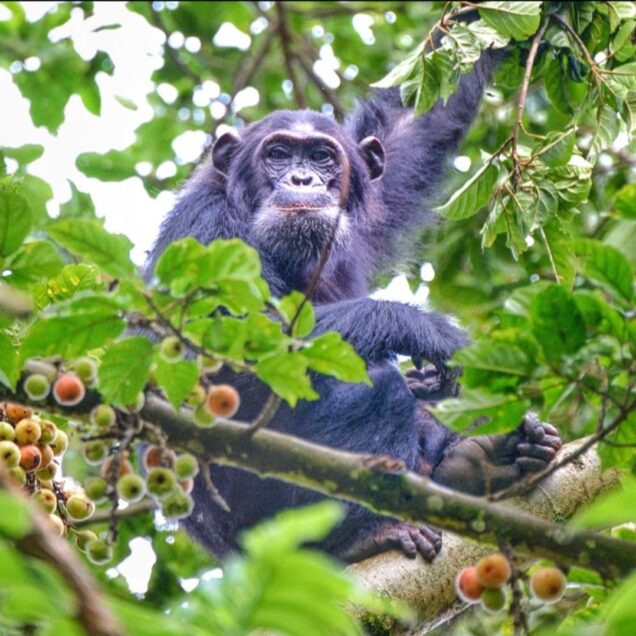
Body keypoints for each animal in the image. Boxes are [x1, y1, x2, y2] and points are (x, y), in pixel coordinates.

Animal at [147, 53, 560, 560]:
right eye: (277, 154)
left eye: (321, 157)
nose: (301, 179)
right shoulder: (206, 231)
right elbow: (223, 352)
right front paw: (424, 329)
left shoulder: (370, 211)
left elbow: (414, 125)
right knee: (374, 386)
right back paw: (364, 534)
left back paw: (490, 457)